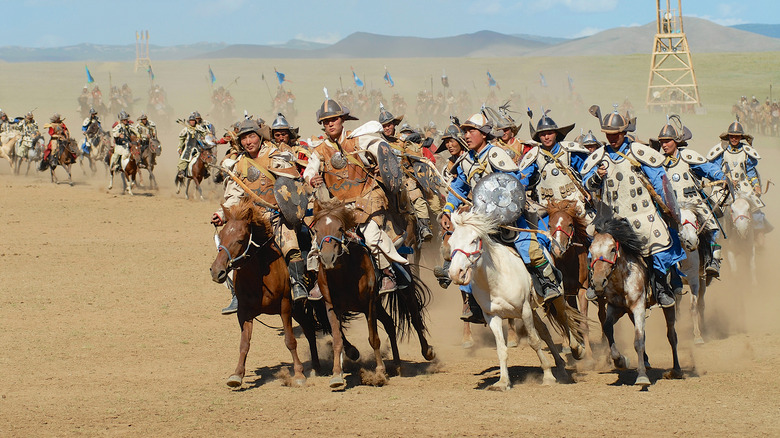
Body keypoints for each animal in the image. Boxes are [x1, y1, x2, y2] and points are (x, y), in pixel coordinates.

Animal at [209, 198, 328, 386]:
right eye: (221, 236)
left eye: (240, 240)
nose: (216, 271)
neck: (259, 277)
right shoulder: (244, 312)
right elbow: (244, 343)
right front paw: (237, 375)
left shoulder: (285, 306)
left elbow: (290, 341)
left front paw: (299, 374)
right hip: (298, 309)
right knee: (309, 329)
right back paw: (316, 366)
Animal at [310, 200, 436, 388]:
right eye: (317, 230)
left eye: (340, 228)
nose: (327, 257)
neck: (344, 274)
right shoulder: (332, 307)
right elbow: (338, 340)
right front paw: (337, 375)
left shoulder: (368, 304)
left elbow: (373, 338)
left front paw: (379, 371)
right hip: (377, 303)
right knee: (390, 323)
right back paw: (397, 364)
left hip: (404, 291)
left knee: (414, 317)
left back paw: (427, 351)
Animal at [444, 210, 584, 392]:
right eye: (451, 242)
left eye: (473, 240)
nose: (455, 273)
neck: (495, 279)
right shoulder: (493, 317)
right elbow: (501, 349)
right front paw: (503, 382)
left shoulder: (524, 311)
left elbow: (534, 342)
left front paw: (547, 375)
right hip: (532, 309)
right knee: (545, 330)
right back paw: (560, 368)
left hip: (557, 299)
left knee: (563, 319)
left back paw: (576, 349)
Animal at [544, 198, 600, 362]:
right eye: (549, 225)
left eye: (569, 224)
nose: (557, 250)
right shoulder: (563, 293)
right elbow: (567, 319)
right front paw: (571, 347)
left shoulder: (582, 291)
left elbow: (583, 322)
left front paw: (588, 354)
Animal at [592, 212, 684, 386]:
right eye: (590, 251)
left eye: (612, 249)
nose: (599, 282)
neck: (622, 280)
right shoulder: (616, 308)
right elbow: (607, 328)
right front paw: (620, 361)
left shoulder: (639, 307)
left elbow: (639, 340)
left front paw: (641, 377)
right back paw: (647, 362)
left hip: (669, 306)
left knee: (672, 335)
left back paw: (676, 370)